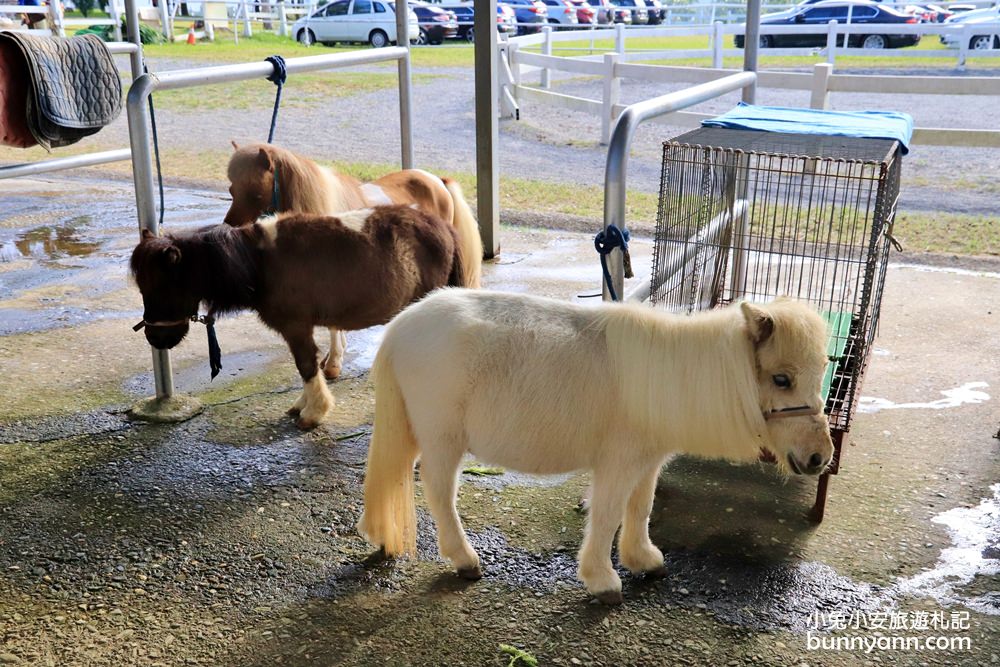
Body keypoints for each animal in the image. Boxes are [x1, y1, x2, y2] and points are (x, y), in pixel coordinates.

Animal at [130, 206, 468, 430]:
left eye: (162, 287)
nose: (155, 338)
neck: (259, 263)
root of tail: (445, 229)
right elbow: (306, 365)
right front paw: (303, 405)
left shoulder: (296, 327)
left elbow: (306, 365)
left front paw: (314, 412)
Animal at [356, 290, 832, 604]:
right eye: (782, 379)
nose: (819, 457)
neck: (669, 378)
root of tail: (400, 326)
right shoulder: (618, 464)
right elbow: (606, 516)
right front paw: (603, 581)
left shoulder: (647, 462)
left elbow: (640, 508)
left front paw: (644, 560)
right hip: (443, 440)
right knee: (439, 491)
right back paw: (464, 559)